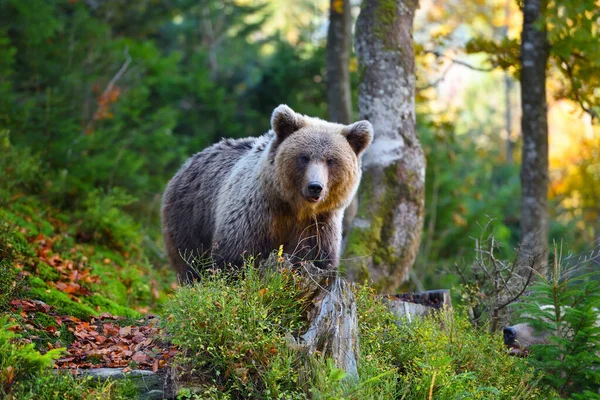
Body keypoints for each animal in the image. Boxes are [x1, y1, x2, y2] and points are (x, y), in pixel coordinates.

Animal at [162, 104, 372, 282]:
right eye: (304, 157)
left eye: (331, 160)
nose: (315, 186)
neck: (293, 207)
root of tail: (189, 161)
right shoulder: (254, 215)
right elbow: (235, 258)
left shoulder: (318, 225)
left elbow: (316, 259)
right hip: (190, 217)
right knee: (190, 261)